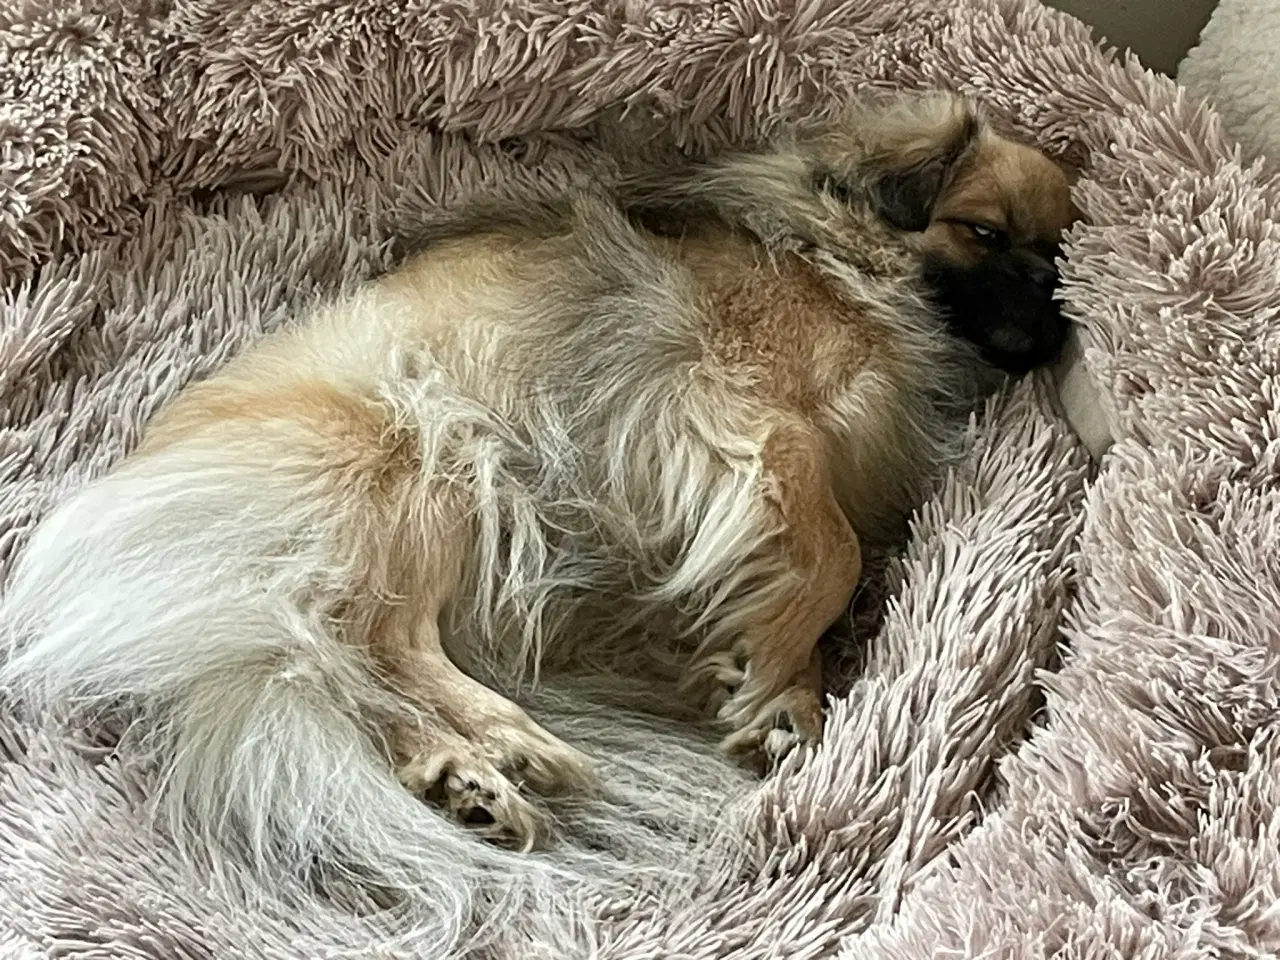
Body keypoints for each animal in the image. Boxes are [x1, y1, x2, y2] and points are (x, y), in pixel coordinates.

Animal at [0, 90, 1080, 901]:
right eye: (981, 231)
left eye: (1059, 256)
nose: (1045, 303)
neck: (848, 258)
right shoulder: (744, 421)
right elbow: (828, 554)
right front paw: (777, 677)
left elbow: (803, 573)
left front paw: (779, 684)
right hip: (427, 460)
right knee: (368, 640)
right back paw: (506, 742)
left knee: (336, 664)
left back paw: (464, 773)